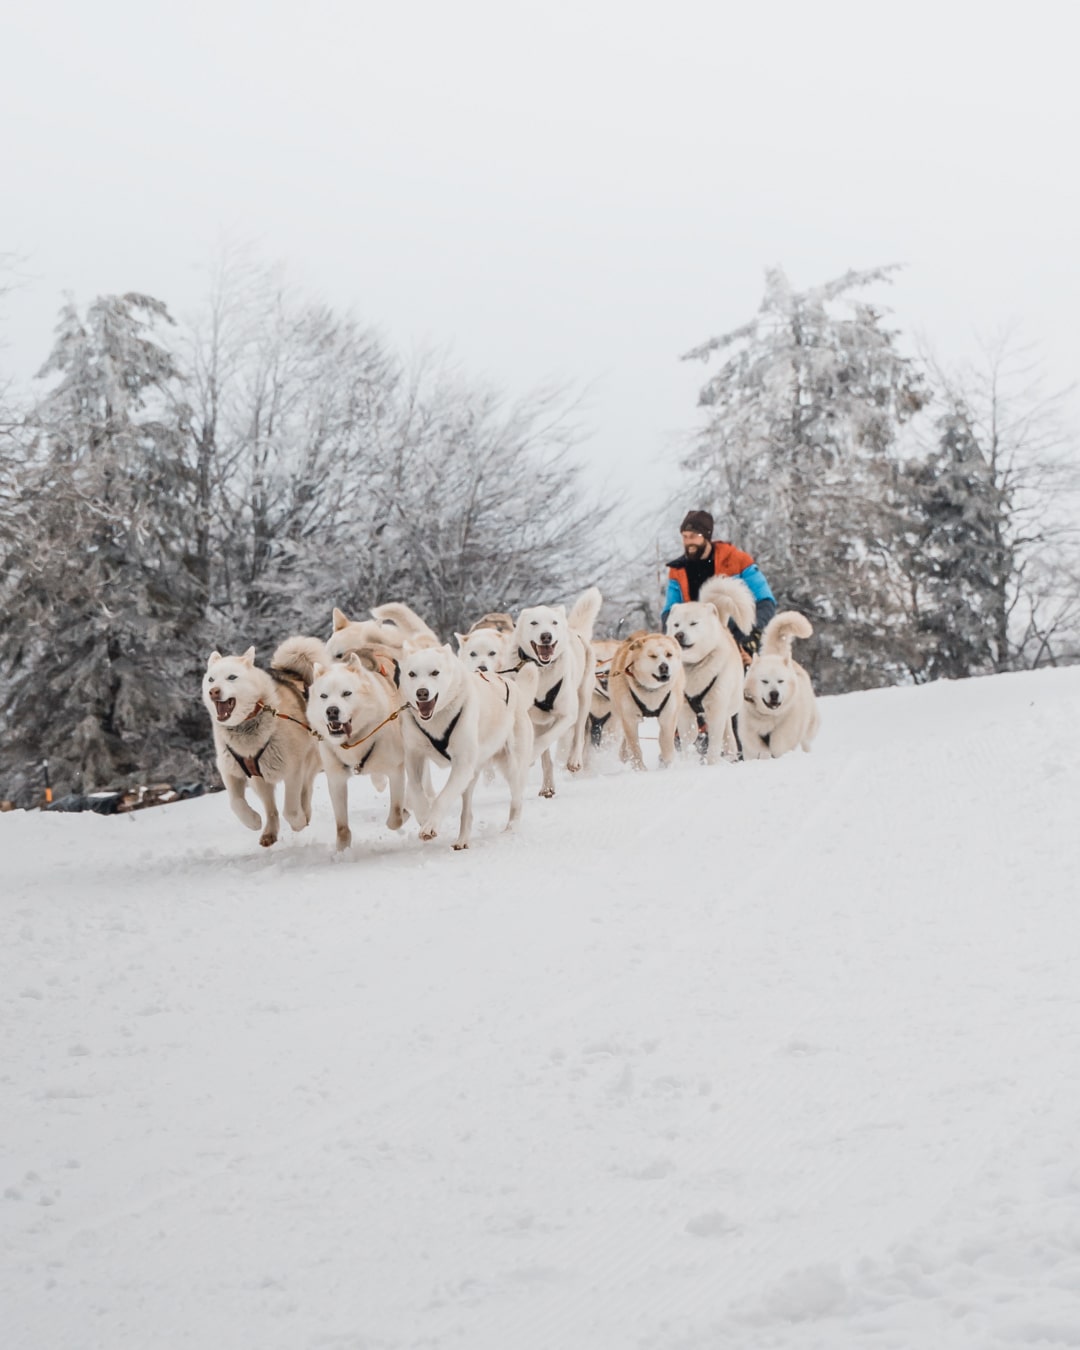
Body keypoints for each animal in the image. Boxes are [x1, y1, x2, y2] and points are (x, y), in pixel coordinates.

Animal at [607, 631, 683, 772]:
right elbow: (635, 748)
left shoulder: (668, 718)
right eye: (652, 656)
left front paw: (666, 764)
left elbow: (666, 744)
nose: (664, 666)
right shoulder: (629, 719)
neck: (652, 691)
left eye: (669, 654)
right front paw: (640, 769)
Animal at [745, 612, 820, 761]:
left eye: (780, 681)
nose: (774, 694)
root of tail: (777, 655)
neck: (769, 718)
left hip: (809, 729)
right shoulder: (751, 740)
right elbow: (759, 750)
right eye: (764, 681)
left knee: (806, 743)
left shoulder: (784, 737)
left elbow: (780, 747)